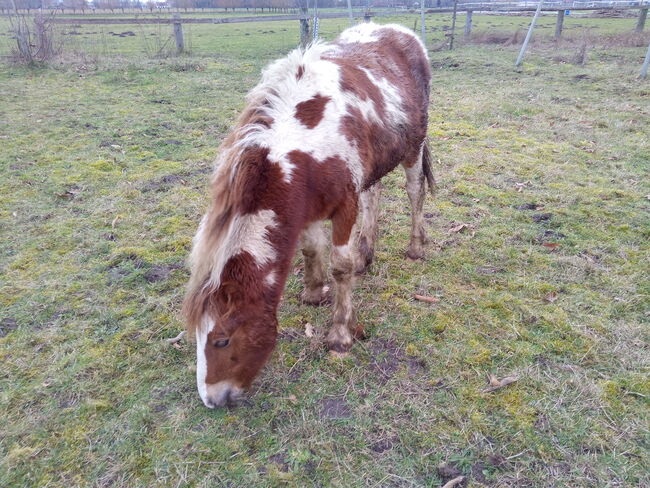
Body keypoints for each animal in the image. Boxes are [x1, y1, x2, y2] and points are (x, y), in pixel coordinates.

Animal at [181, 21, 430, 408]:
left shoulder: (343, 208)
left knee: (414, 191)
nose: (212, 400)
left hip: (413, 149)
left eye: (221, 340)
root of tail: (401, 31)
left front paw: (340, 334)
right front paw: (314, 293)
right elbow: (312, 249)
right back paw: (366, 253)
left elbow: (340, 267)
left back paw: (415, 247)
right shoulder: (307, 205)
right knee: (373, 196)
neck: (301, 145)